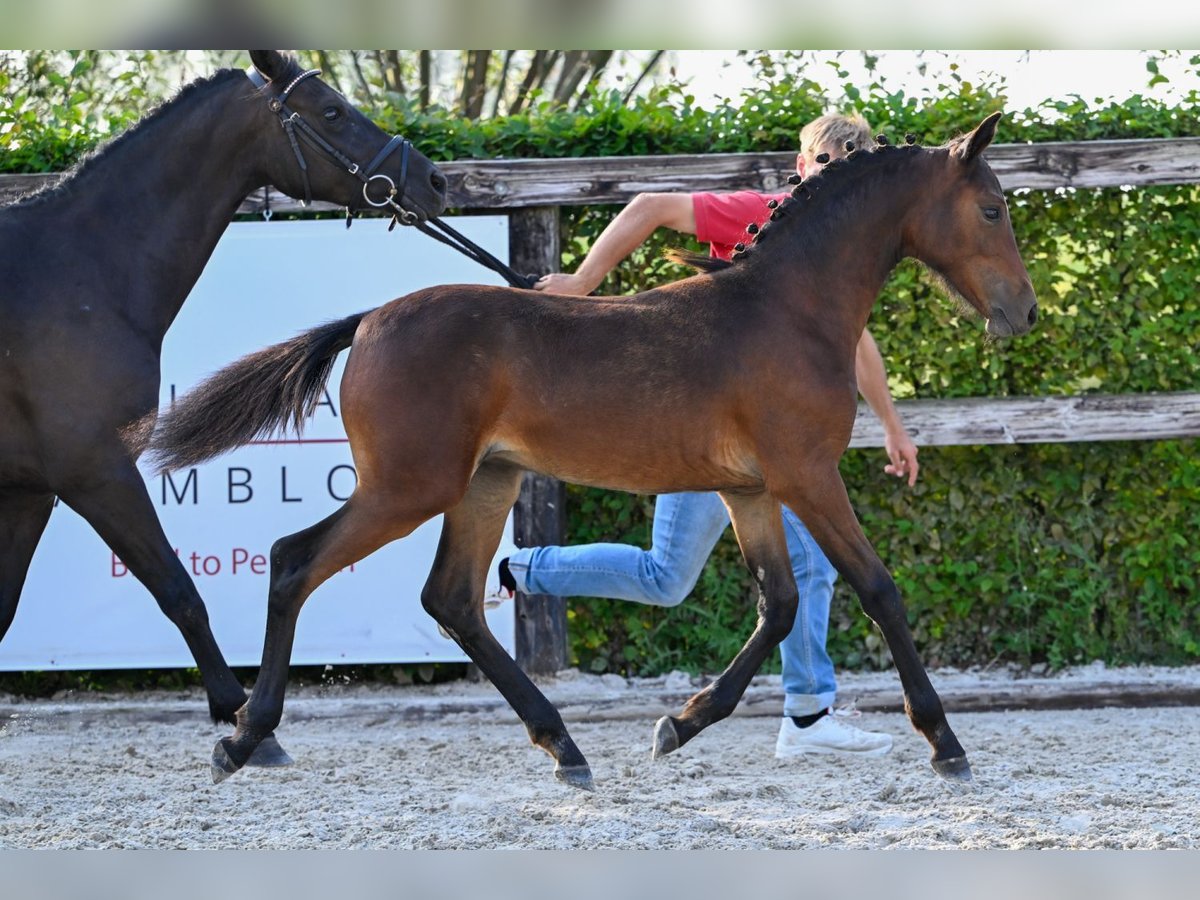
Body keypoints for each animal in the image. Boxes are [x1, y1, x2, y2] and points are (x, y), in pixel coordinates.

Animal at [0, 51, 446, 768]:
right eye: (331, 110)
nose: (433, 180)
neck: (75, 276)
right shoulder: (96, 472)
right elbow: (179, 592)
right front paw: (244, 723)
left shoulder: (28, 491)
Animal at [147, 114, 1032, 787]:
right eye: (992, 209)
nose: (1022, 311)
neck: (786, 308)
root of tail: (366, 321)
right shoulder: (806, 476)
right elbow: (878, 588)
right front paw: (945, 742)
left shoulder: (751, 489)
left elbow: (780, 604)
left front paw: (679, 724)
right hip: (410, 486)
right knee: (296, 561)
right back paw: (244, 736)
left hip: (486, 483)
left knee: (453, 599)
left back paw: (564, 745)